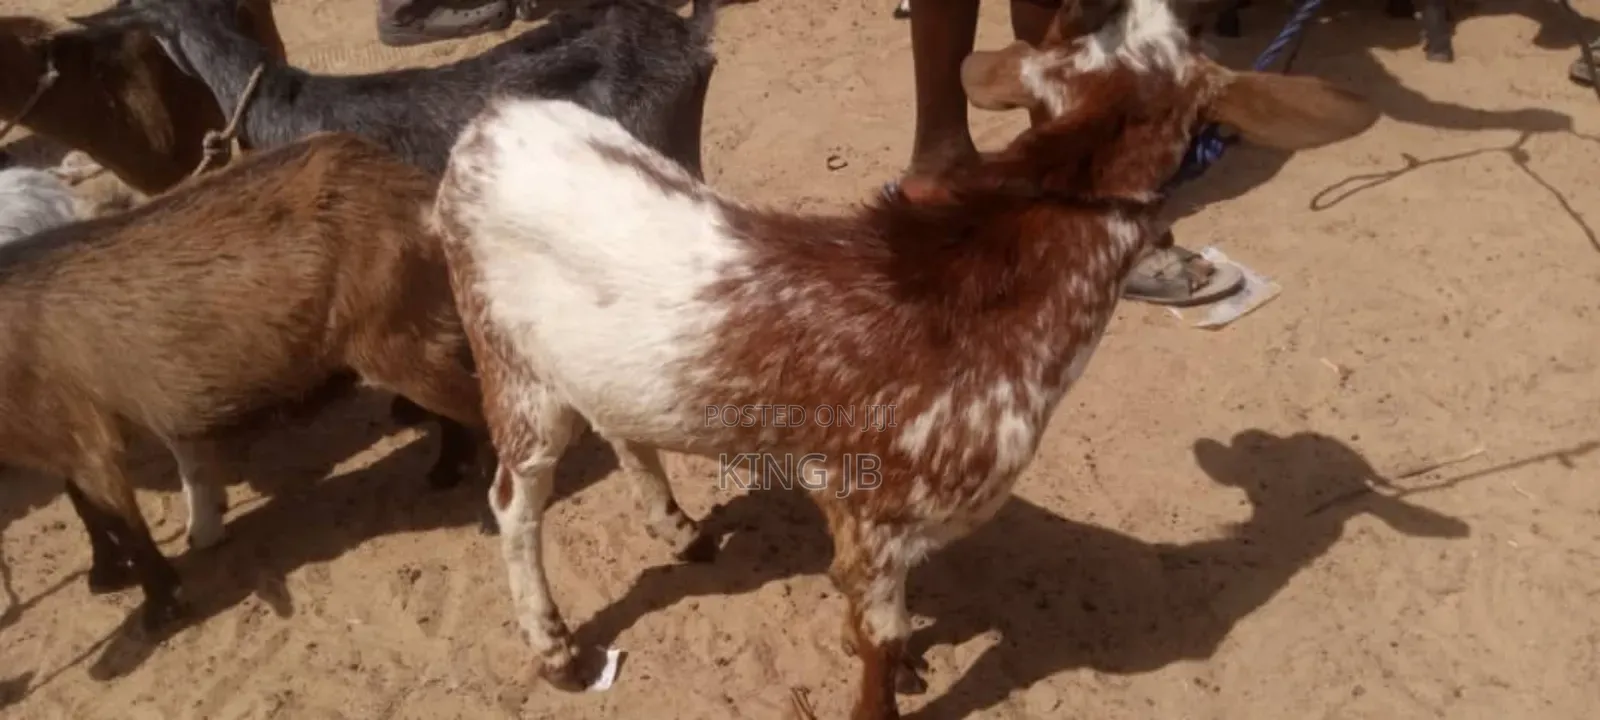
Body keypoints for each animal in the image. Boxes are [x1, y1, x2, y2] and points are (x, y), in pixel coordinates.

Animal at [0, 132, 488, 630]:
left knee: (476, 402)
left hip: (391, 334)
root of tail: (414, 189)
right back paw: (447, 469)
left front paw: (161, 606)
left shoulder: (84, 437)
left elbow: (120, 518)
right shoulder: (59, 437)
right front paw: (108, 574)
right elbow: (88, 507)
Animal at [431, 0, 1379, 716]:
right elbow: (879, 638)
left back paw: (681, 530)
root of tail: (490, 124)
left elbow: (876, 622)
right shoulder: (875, 512)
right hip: (508, 363)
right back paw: (556, 649)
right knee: (516, 498)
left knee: (623, 428)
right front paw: (892, 681)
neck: (987, 295)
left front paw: (915, 662)